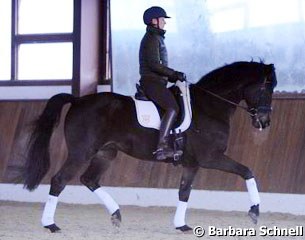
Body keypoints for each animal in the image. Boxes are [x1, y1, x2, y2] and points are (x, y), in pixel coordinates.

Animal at [22, 60, 276, 232]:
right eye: (266, 88)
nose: (264, 122)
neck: (209, 106)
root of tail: (78, 100)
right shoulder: (210, 157)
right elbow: (247, 171)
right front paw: (255, 212)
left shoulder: (192, 163)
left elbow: (184, 192)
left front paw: (181, 225)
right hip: (81, 153)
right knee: (59, 180)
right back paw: (50, 224)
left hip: (106, 153)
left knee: (89, 180)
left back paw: (116, 215)